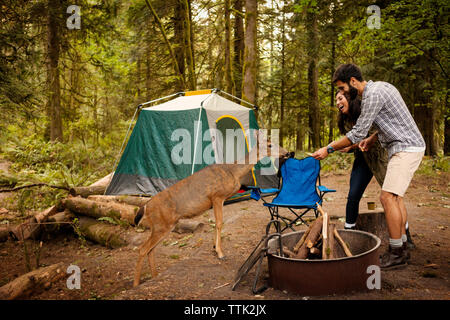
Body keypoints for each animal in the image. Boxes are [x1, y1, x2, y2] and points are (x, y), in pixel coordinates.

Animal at [132, 131, 290, 288]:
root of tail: (146, 206)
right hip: (162, 225)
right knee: (142, 249)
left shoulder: (218, 200)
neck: (233, 171)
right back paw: (136, 284)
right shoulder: (217, 196)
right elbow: (219, 223)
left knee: (150, 250)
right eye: (270, 144)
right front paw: (220, 253)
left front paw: (215, 247)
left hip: (162, 226)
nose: (288, 152)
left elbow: (216, 223)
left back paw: (154, 276)